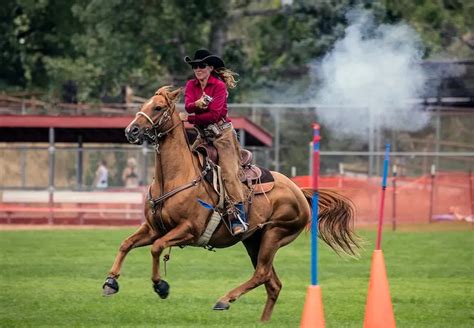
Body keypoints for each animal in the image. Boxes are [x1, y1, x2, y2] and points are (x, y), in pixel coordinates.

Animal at [102, 86, 358, 322]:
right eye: (143, 104)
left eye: (158, 107)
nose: (131, 130)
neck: (176, 177)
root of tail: (299, 191)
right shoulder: (154, 228)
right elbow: (126, 244)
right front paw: (110, 282)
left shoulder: (188, 230)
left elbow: (156, 248)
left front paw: (160, 286)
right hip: (254, 241)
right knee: (272, 283)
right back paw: (261, 321)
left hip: (274, 235)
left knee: (262, 274)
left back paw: (224, 300)